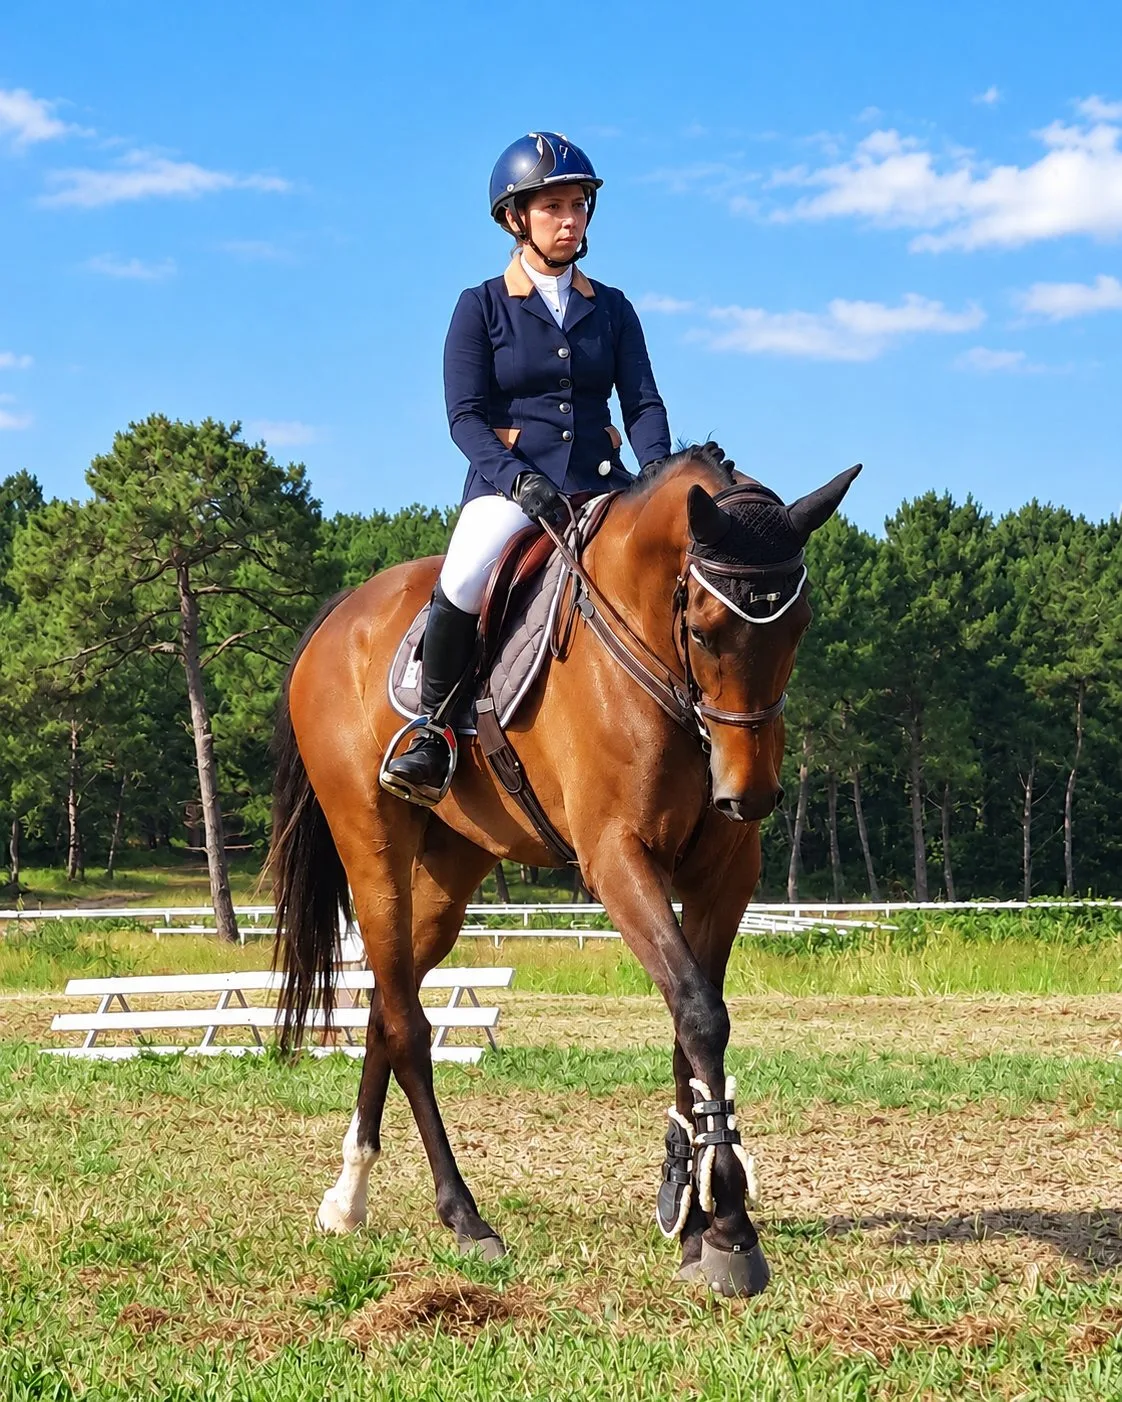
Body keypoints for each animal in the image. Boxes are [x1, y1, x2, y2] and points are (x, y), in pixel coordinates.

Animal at [269, 443, 860, 1297]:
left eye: (800, 626)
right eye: (706, 628)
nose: (748, 795)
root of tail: (344, 613)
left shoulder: (724, 875)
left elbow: (692, 1021)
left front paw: (689, 1209)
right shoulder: (616, 858)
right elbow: (700, 1013)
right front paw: (730, 1230)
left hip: (452, 870)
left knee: (388, 1000)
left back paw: (348, 1198)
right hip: (371, 844)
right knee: (407, 1026)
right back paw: (465, 1218)